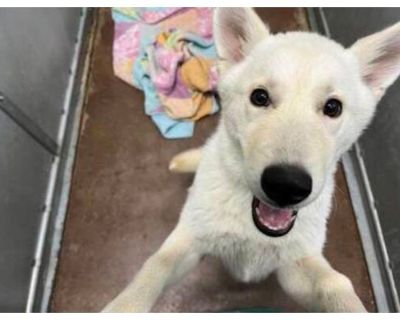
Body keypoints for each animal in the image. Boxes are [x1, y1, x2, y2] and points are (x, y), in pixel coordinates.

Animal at [104, 8, 400, 312]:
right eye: (260, 97)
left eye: (333, 107)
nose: (286, 186)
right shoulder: (190, 239)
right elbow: (156, 266)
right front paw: (124, 305)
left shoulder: (295, 265)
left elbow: (335, 283)